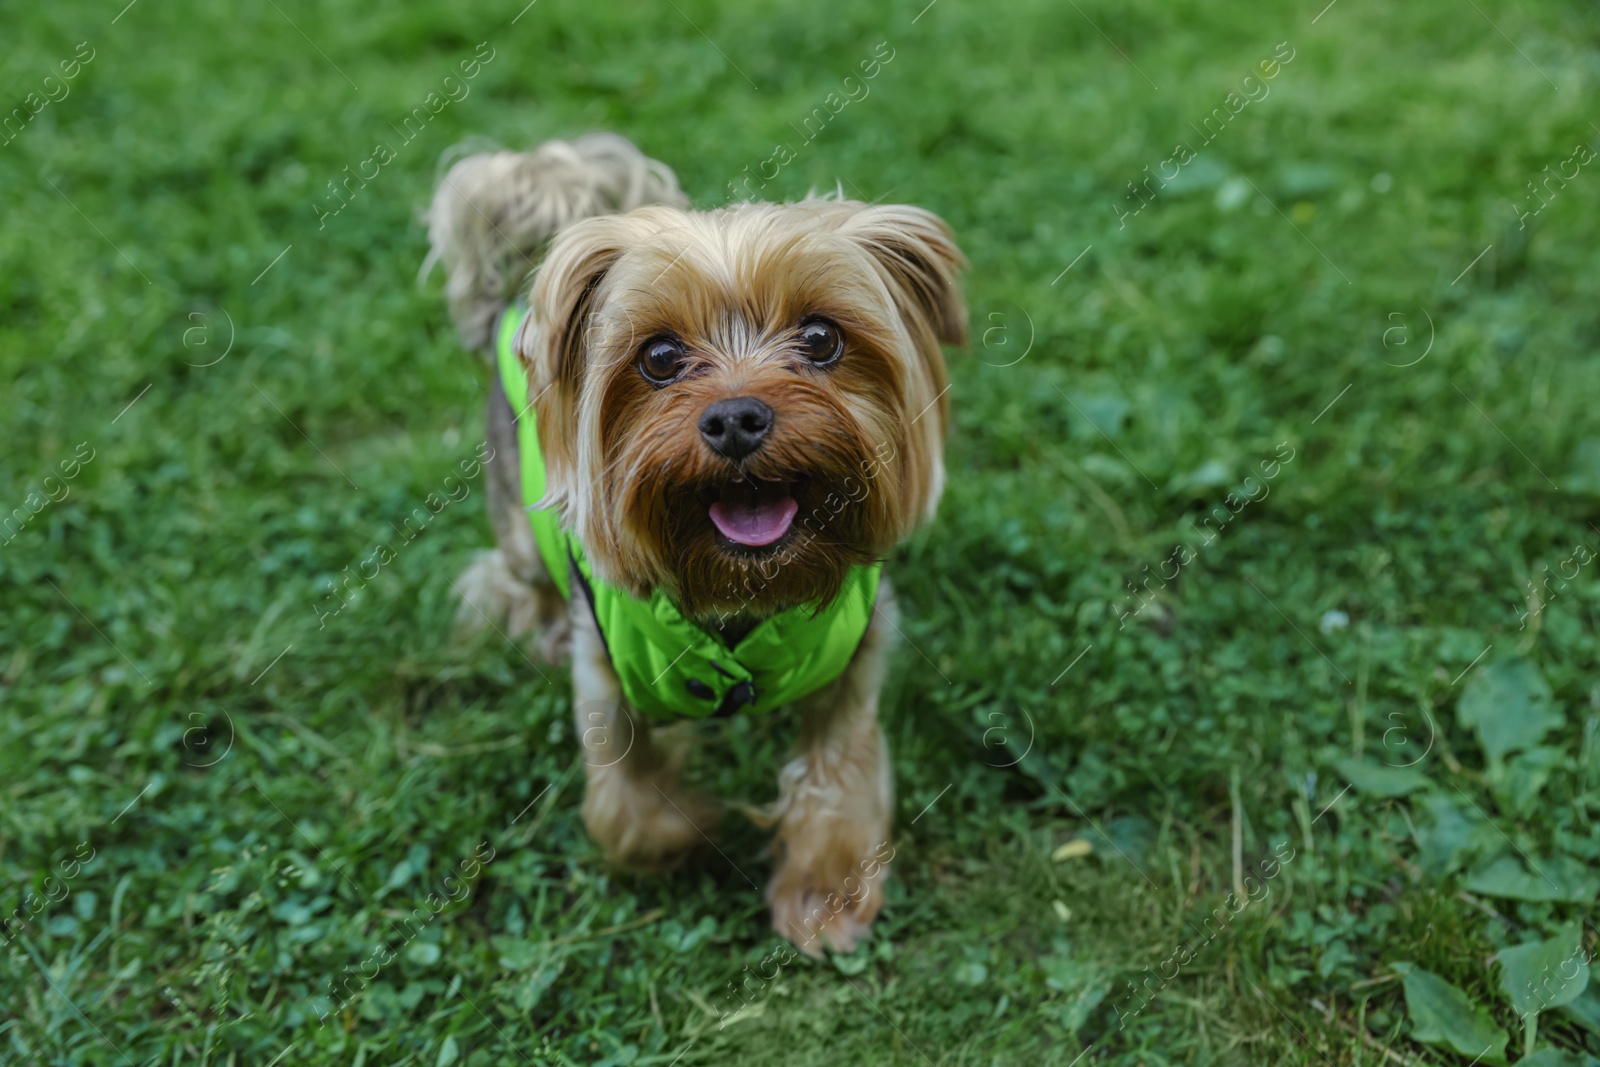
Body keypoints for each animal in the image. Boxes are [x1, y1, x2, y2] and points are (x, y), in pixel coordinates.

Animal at [422, 129, 960, 953]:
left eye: (821, 337)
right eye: (660, 357)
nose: (736, 418)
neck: (746, 594)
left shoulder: (856, 655)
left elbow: (838, 771)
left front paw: (824, 894)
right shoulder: (606, 673)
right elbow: (627, 809)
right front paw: (696, 828)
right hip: (516, 518)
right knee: (512, 573)